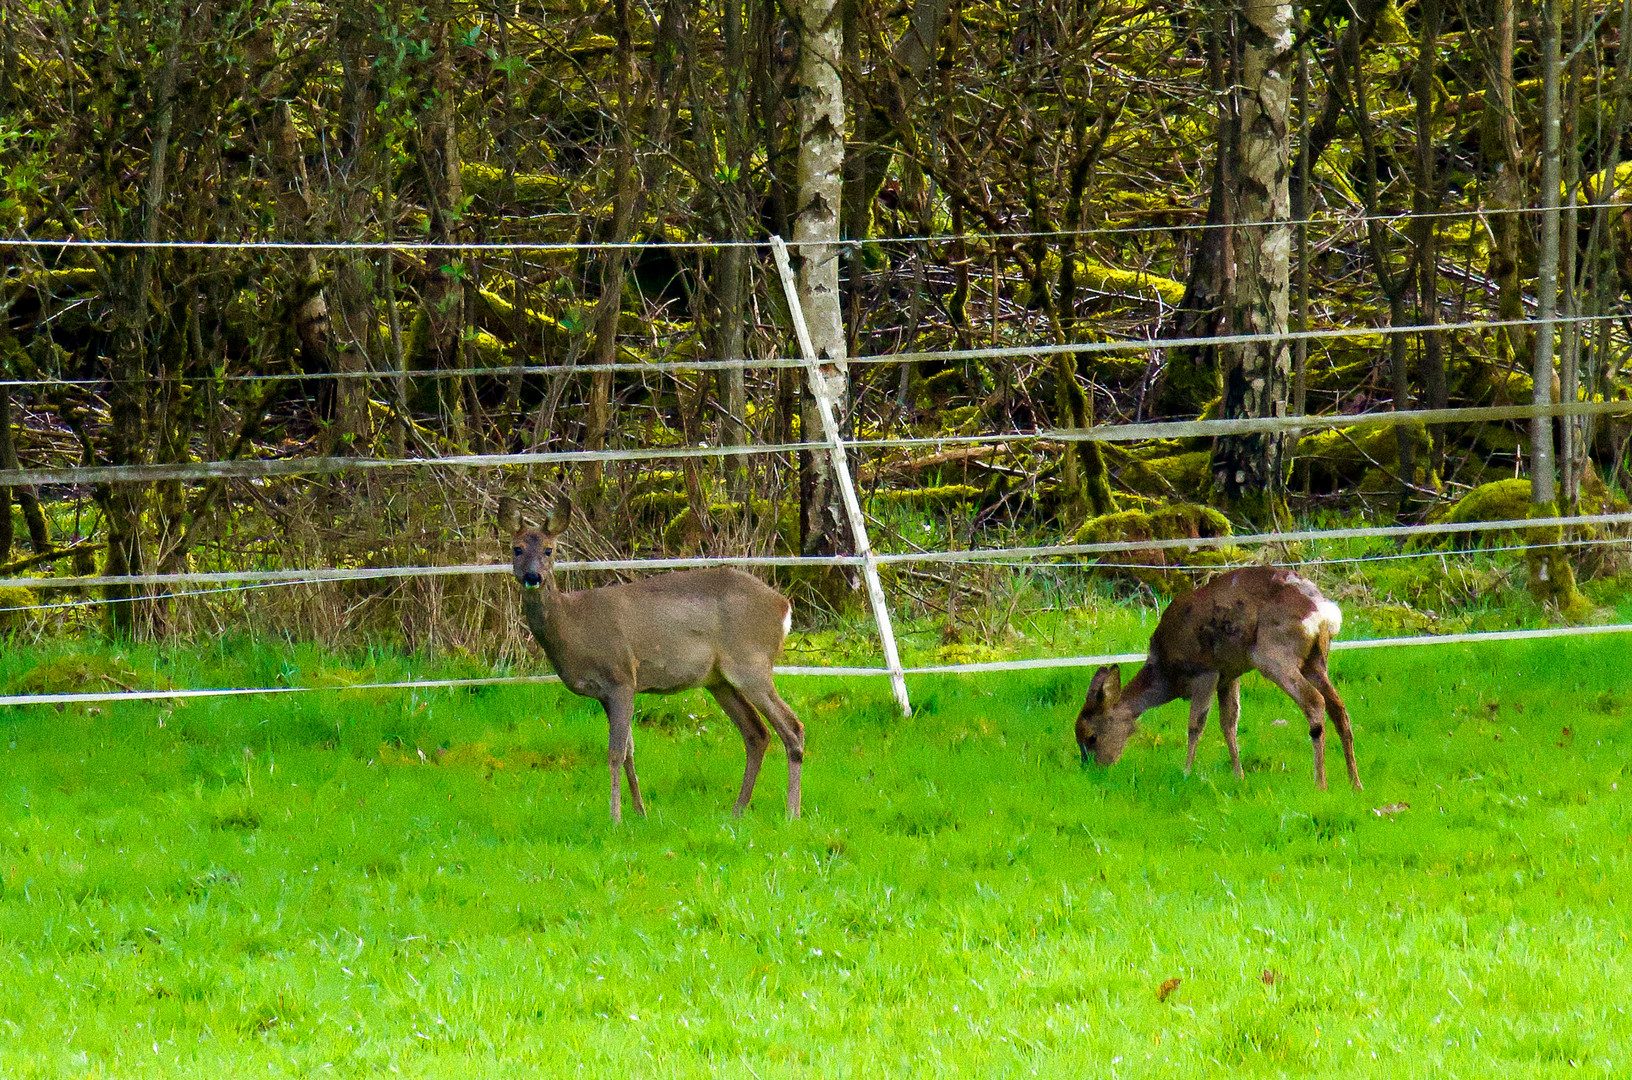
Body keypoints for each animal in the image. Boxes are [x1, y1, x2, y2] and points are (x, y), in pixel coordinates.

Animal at [496, 495, 802, 822]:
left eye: (549, 549)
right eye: (517, 548)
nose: (532, 577)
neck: (574, 627)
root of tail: (783, 606)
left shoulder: (621, 677)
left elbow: (615, 752)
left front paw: (615, 817)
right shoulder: (605, 693)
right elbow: (629, 752)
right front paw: (640, 812)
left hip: (751, 663)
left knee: (792, 728)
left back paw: (791, 813)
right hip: (719, 680)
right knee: (757, 733)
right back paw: (737, 811)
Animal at [1077, 570, 1357, 792]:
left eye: (1091, 737)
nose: (1093, 770)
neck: (1166, 673)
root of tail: (1323, 612)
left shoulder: (1205, 670)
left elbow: (1195, 724)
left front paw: (1186, 772)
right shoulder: (1228, 675)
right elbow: (1229, 723)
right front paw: (1238, 775)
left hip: (1272, 653)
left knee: (1315, 701)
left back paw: (1320, 783)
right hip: (1315, 660)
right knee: (1339, 707)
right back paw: (1355, 783)